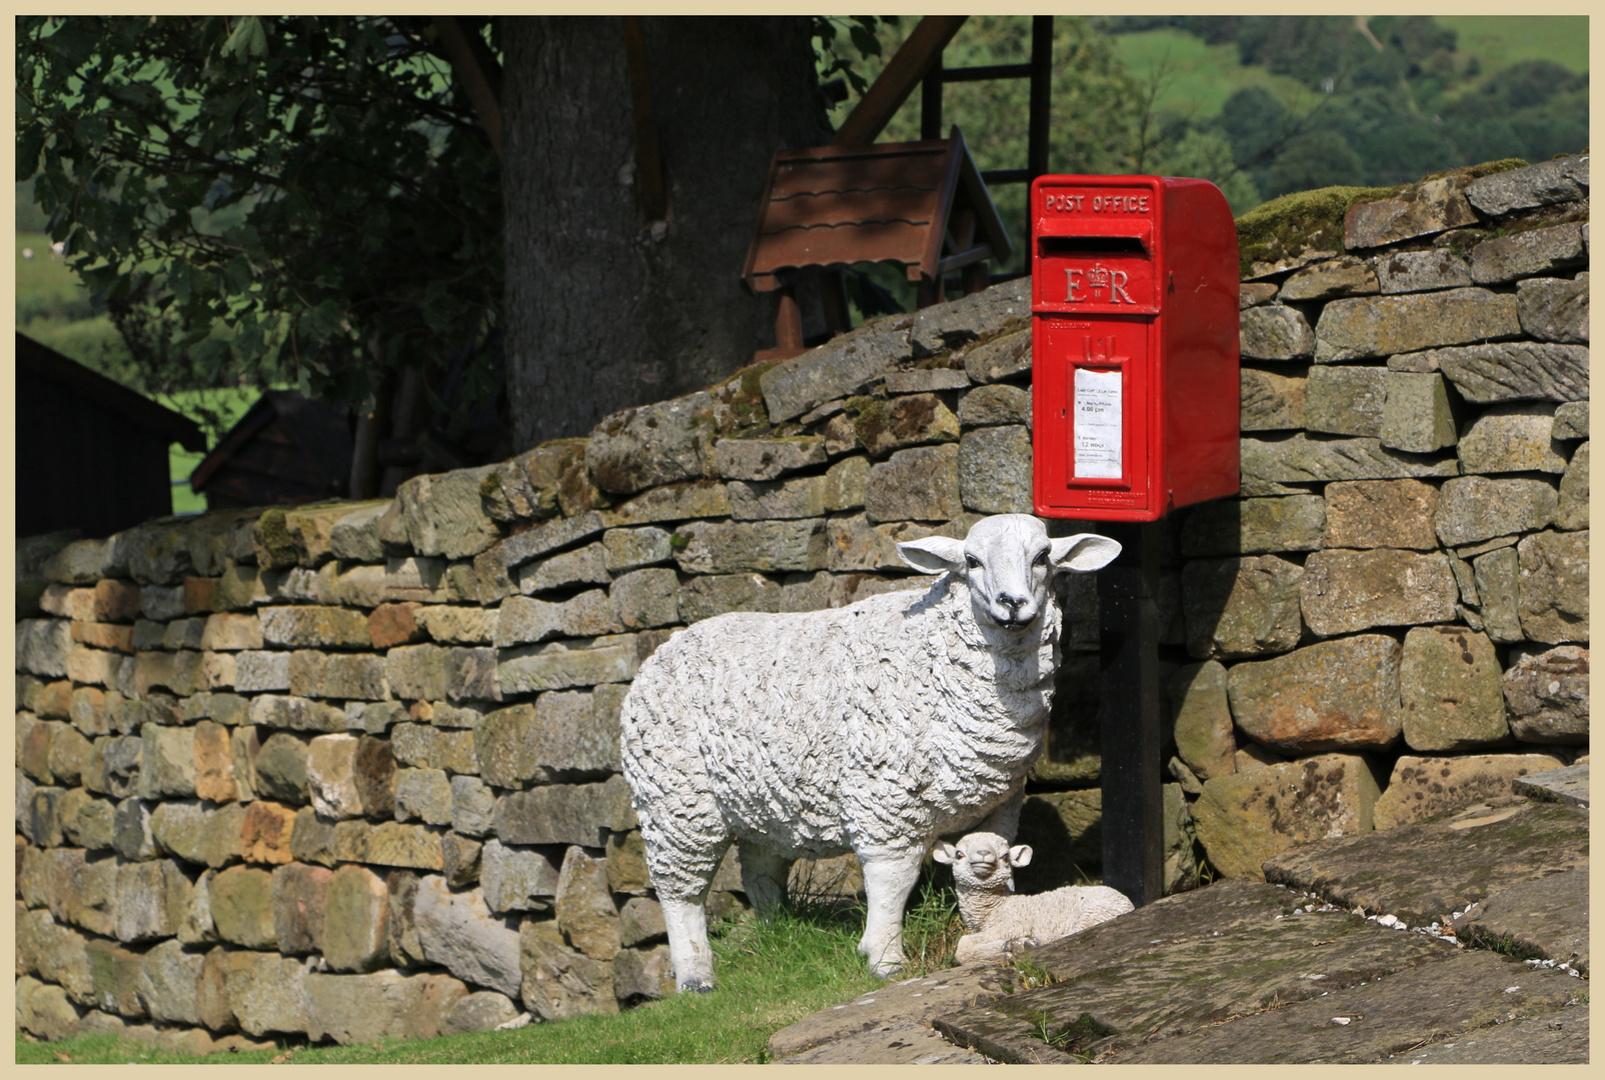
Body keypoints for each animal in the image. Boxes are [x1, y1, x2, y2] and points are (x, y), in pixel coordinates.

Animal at [937, 834, 1136, 962]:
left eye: (1005, 856)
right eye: (959, 854)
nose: (984, 853)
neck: (995, 908)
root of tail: (1130, 903)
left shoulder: (1016, 922)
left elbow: (962, 945)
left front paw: (1004, 948)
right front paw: (1002, 949)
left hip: (1097, 909)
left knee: (1078, 932)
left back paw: (1031, 942)